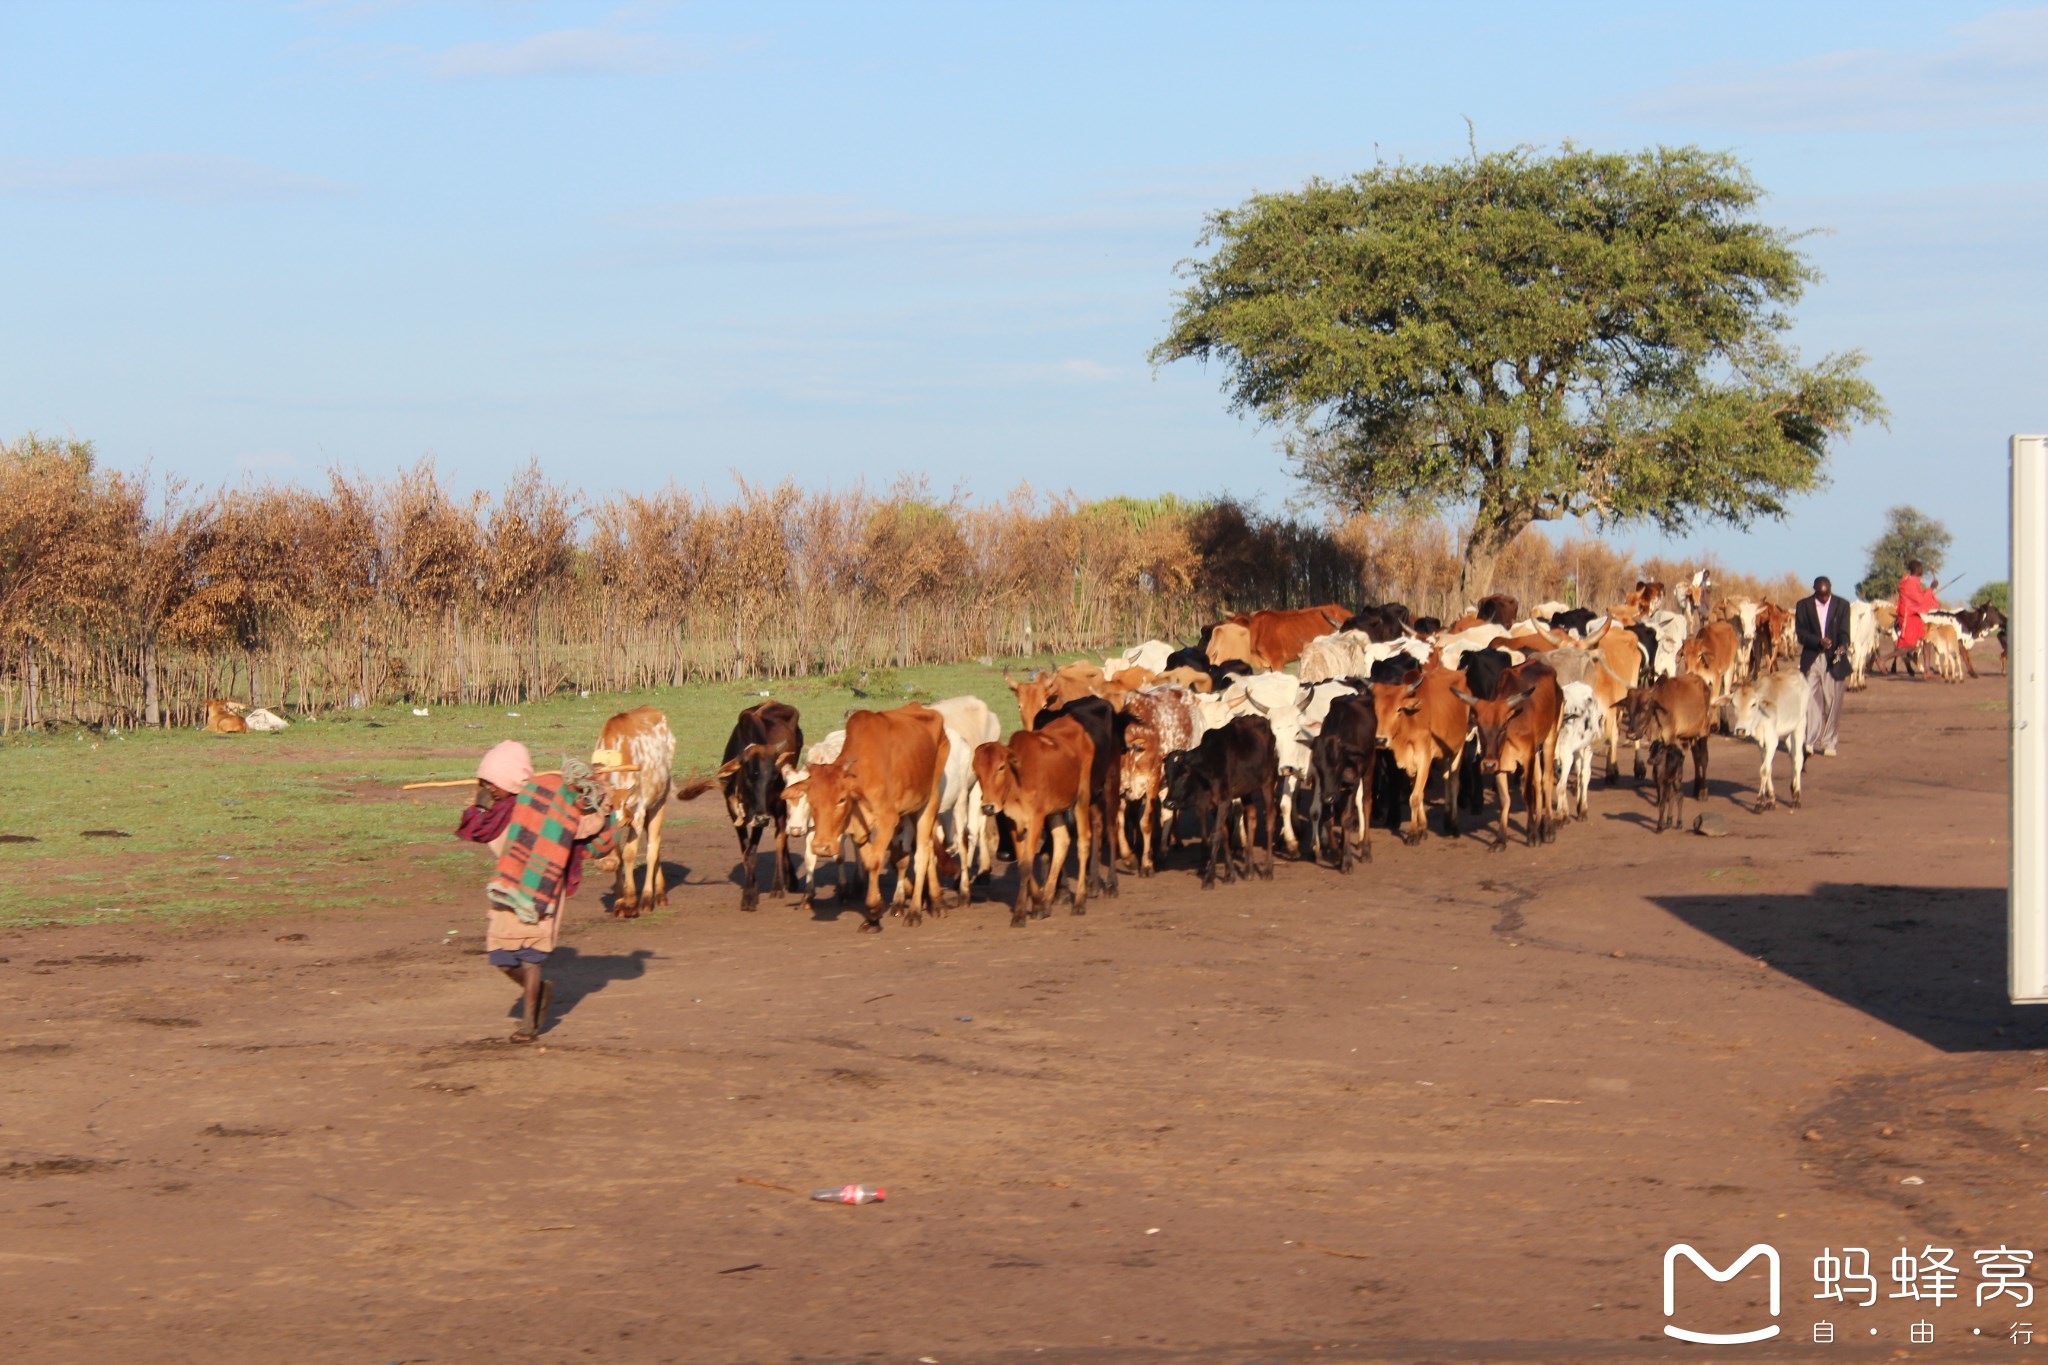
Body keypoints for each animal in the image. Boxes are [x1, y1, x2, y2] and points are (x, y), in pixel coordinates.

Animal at [778, 703, 946, 929]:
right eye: (811, 799)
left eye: (841, 799)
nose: (821, 847)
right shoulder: (859, 830)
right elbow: (868, 861)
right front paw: (875, 911)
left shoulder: (888, 820)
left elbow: (875, 860)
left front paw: (873, 910)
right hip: (910, 809)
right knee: (924, 848)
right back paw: (933, 901)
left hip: (930, 799)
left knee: (923, 852)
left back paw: (918, 910)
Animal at [1163, 712, 1269, 892]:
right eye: (1167, 774)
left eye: (1185, 772)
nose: (1169, 803)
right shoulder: (1210, 806)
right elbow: (1221, 835)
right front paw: (1229, 875)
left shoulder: (1224, 801)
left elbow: (1215, 836)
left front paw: (1209, 878)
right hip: (1245, 791)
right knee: (1251, 814)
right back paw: (1248, 870)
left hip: (1266, 784)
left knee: (1267, 818)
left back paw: (1265, 870)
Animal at [1376, 663, 1474, 843]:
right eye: (1376, 711)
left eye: (1398, 709)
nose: (1380, 740)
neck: (1410, 722)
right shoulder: (1409, 764)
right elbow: (1418, 793)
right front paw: (1422, 829)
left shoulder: (1424, 759)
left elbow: (1414, 797)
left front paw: (1413, 833)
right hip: (1443, 754)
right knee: (1446, 778)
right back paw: (1446, 821)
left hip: (1458, 748)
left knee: (1453, 782)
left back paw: (1453, 825)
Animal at [1449, 654, 1556, 847]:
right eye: (1480, 728)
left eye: (1502, 727)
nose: (1487, 764)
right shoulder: (1499, 763)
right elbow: (1504, 800)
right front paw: (1500, 839)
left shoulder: (1527, 758)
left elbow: (1527, 794)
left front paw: (1532, 835)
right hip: (1536, 749)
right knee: (1538, 782)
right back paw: (1539, 824)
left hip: (1551, 737)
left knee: (1546, 780)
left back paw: (1548, 829)